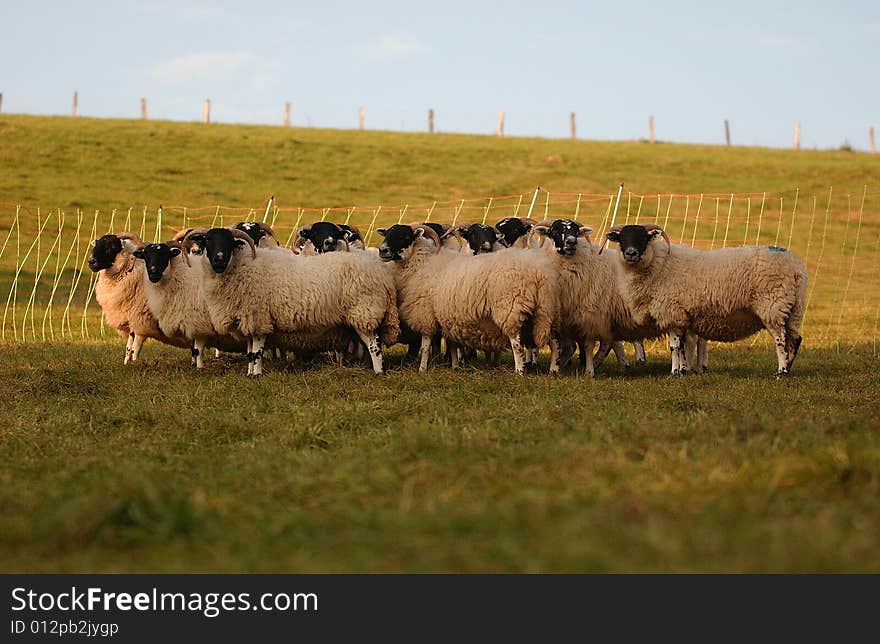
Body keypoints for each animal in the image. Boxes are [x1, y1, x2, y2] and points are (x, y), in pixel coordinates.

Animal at [89, 231, 189, 362]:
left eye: (112, 246)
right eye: (96, 244)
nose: (91, 261)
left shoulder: (140, 319)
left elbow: (135, 347)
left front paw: (134, 362)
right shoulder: (131, 318)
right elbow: (128, 346)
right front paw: (126, 363)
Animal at [376, 223, 556, 374]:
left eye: (404, 236)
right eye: (388, 233)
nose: (382, 250)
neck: (421, 263)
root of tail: (538, 273)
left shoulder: (425, 313)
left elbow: (425, 345)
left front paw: (422, 369)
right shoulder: (447, 316)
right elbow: (452, 344)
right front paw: (455, 366)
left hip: (510, 309)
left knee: (517, 345)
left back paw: (519, 372)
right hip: (546, 312)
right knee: (554, 342)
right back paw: (553, 370)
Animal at [600, 223, 808, 378]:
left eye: (642, 238)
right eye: (622, 239)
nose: (631, 253)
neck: (658, 265)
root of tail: (796, 267)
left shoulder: (672, 311)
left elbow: (674, 346)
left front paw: (675, 372)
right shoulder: (682, 316)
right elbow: (683, 346)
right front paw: (683, 369)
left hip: (772, 306)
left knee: (781, 340)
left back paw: (781, 371)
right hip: (793, 309)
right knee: (795, 339)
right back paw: (788, 368)